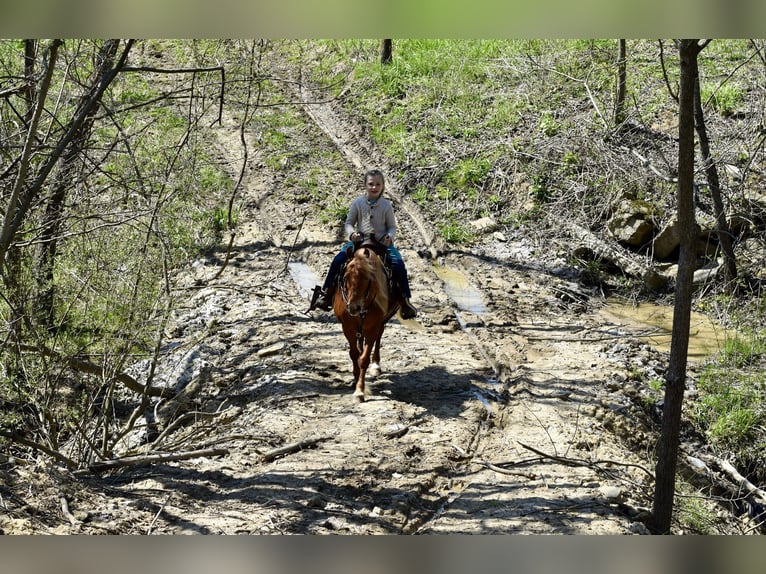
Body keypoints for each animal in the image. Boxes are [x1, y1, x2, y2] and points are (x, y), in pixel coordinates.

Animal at [333, 242, 398, 402]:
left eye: (367, 277)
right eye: (346, 276)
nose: (353, 307)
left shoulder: (372, 327)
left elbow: (363, 359)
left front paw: (359, 391)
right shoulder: (347, 327)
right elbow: (354, 354)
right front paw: (355, 380)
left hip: (380, 322)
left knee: (379, 336)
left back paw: (376, 366)